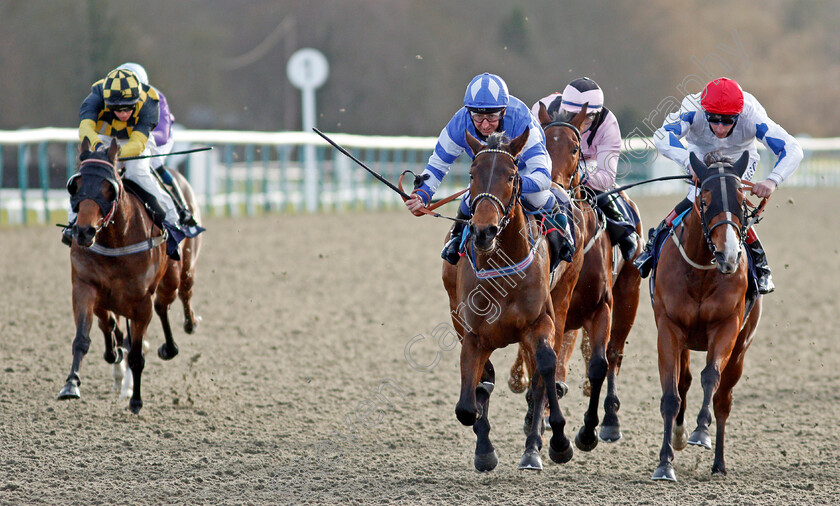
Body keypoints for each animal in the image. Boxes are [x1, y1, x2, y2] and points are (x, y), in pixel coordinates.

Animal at [57, 136, 202, 414]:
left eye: (109, 187)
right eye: (74, 185)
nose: (83, 231)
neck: (117, 239)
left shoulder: (141, 302)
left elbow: (136, 354)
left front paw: (136, 400)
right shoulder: (85, 287)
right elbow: (83, 338)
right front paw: (71, 384)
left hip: (179, 272)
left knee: (176, 297)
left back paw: (185, 330)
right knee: (125, 320)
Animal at [652, 151, 764, 482]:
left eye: (742, 198)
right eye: (705, 198)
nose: (728, 255)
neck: (702, 269)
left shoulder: (726, 326)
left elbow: (711, 377)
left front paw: (701, 431)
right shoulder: (669, 328)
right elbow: (671, 394)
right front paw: (665, 462)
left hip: (740, 348)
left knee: (723, 399)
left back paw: (718, 463)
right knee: (684, 382)